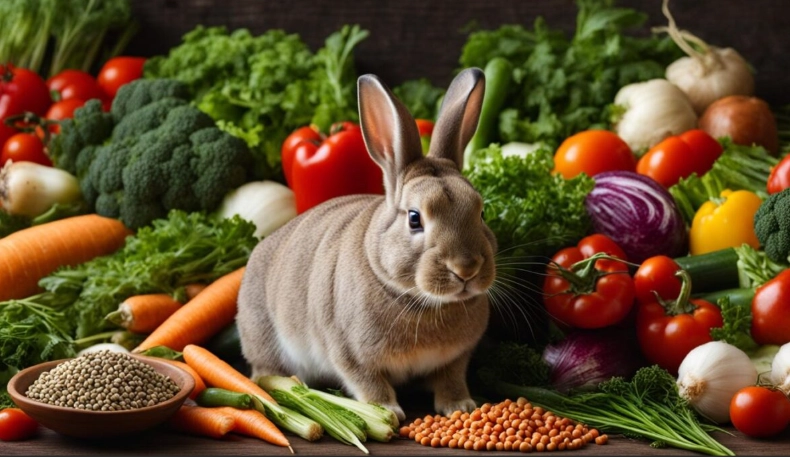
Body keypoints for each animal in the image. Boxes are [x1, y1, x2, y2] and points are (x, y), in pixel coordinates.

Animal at [235, 67, 497, 422]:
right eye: (414, 218)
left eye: (482, 212)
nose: (466, 268)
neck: (423, 301)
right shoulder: (349, 352)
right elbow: (368, 382)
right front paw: (387, 412)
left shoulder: (456, 358)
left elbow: (451, 378)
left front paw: (460, 406)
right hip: (262, 333)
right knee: (263, 373)